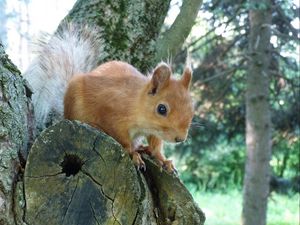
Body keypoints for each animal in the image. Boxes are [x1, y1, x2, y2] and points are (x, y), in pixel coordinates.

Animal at [25, 24, 195, 172]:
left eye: (192, 109)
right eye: (161, 109)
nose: (180, 138)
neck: (137, 104)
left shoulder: (154, 131)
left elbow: (155, 146)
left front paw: (163, 159)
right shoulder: (111, 115)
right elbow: (122, 139)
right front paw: (133, 154)